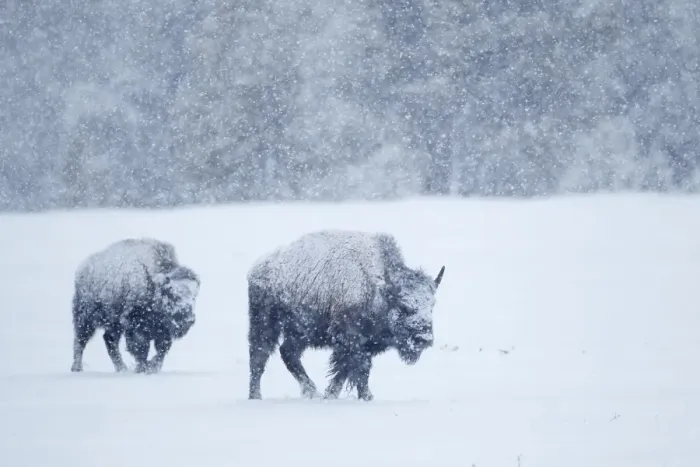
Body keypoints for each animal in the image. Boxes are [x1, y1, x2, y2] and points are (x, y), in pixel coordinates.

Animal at [71, 238, 200, 374]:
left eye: (194, 297)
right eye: (173, 295)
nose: (189, 320)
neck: (153, 283)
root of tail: (82, 268)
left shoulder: (163, 330)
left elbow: (162, 349)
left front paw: (152, 367)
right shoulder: (135, 326)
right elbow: (141, 349)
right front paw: (142, 368)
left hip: (113, 323)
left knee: (109, 340)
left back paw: (122, 368)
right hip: (85, 318)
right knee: (80, 340)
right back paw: (77, 368)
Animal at [247, 230, 445, 401]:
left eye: (432, 305)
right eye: (403, 306)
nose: (424, 339)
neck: (377, 289)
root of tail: (257, 268)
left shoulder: (364, 344)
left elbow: (353, 371)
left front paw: (355, 396)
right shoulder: (350, 340)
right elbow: (353, 369)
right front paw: (346, 396)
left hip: (300, 332)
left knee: (287, 353)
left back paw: (312, 392)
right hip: (264, 325)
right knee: (259, 358)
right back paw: (256, 397)